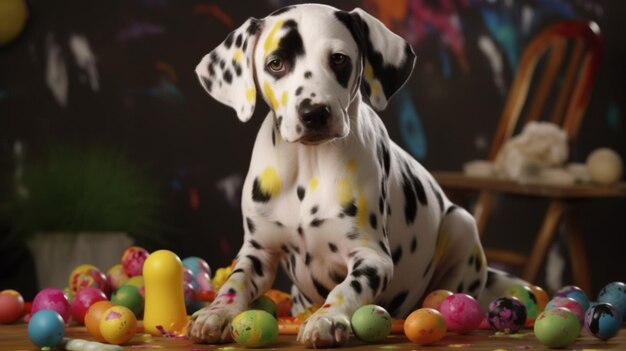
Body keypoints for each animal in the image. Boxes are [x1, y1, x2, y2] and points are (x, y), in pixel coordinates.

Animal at [190, 3, 520, 350]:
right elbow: (235, 282)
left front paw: (326, 318)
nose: (315, 113)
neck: (309, 167)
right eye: (276, 63)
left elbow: (347, 287)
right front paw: (216, 313)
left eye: (339, 59)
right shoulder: (258, 251)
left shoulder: (372, 257)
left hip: (461, 225)